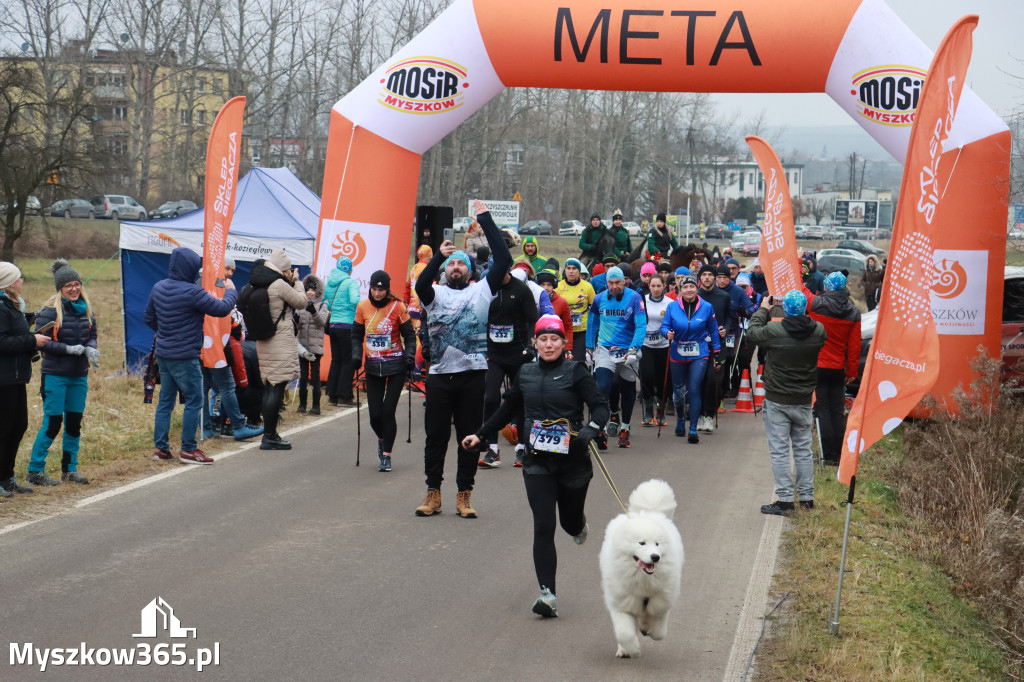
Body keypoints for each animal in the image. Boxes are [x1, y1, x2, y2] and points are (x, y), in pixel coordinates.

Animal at [598, 475, 684, 655]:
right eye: (641, 543)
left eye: (657, 544)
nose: (655, 557)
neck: (642, 580)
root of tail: (647, 512)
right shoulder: (621, 602)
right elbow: (624, 633)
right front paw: (633, 649)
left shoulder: (661, 599)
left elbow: (659, 630)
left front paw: (649, 629)